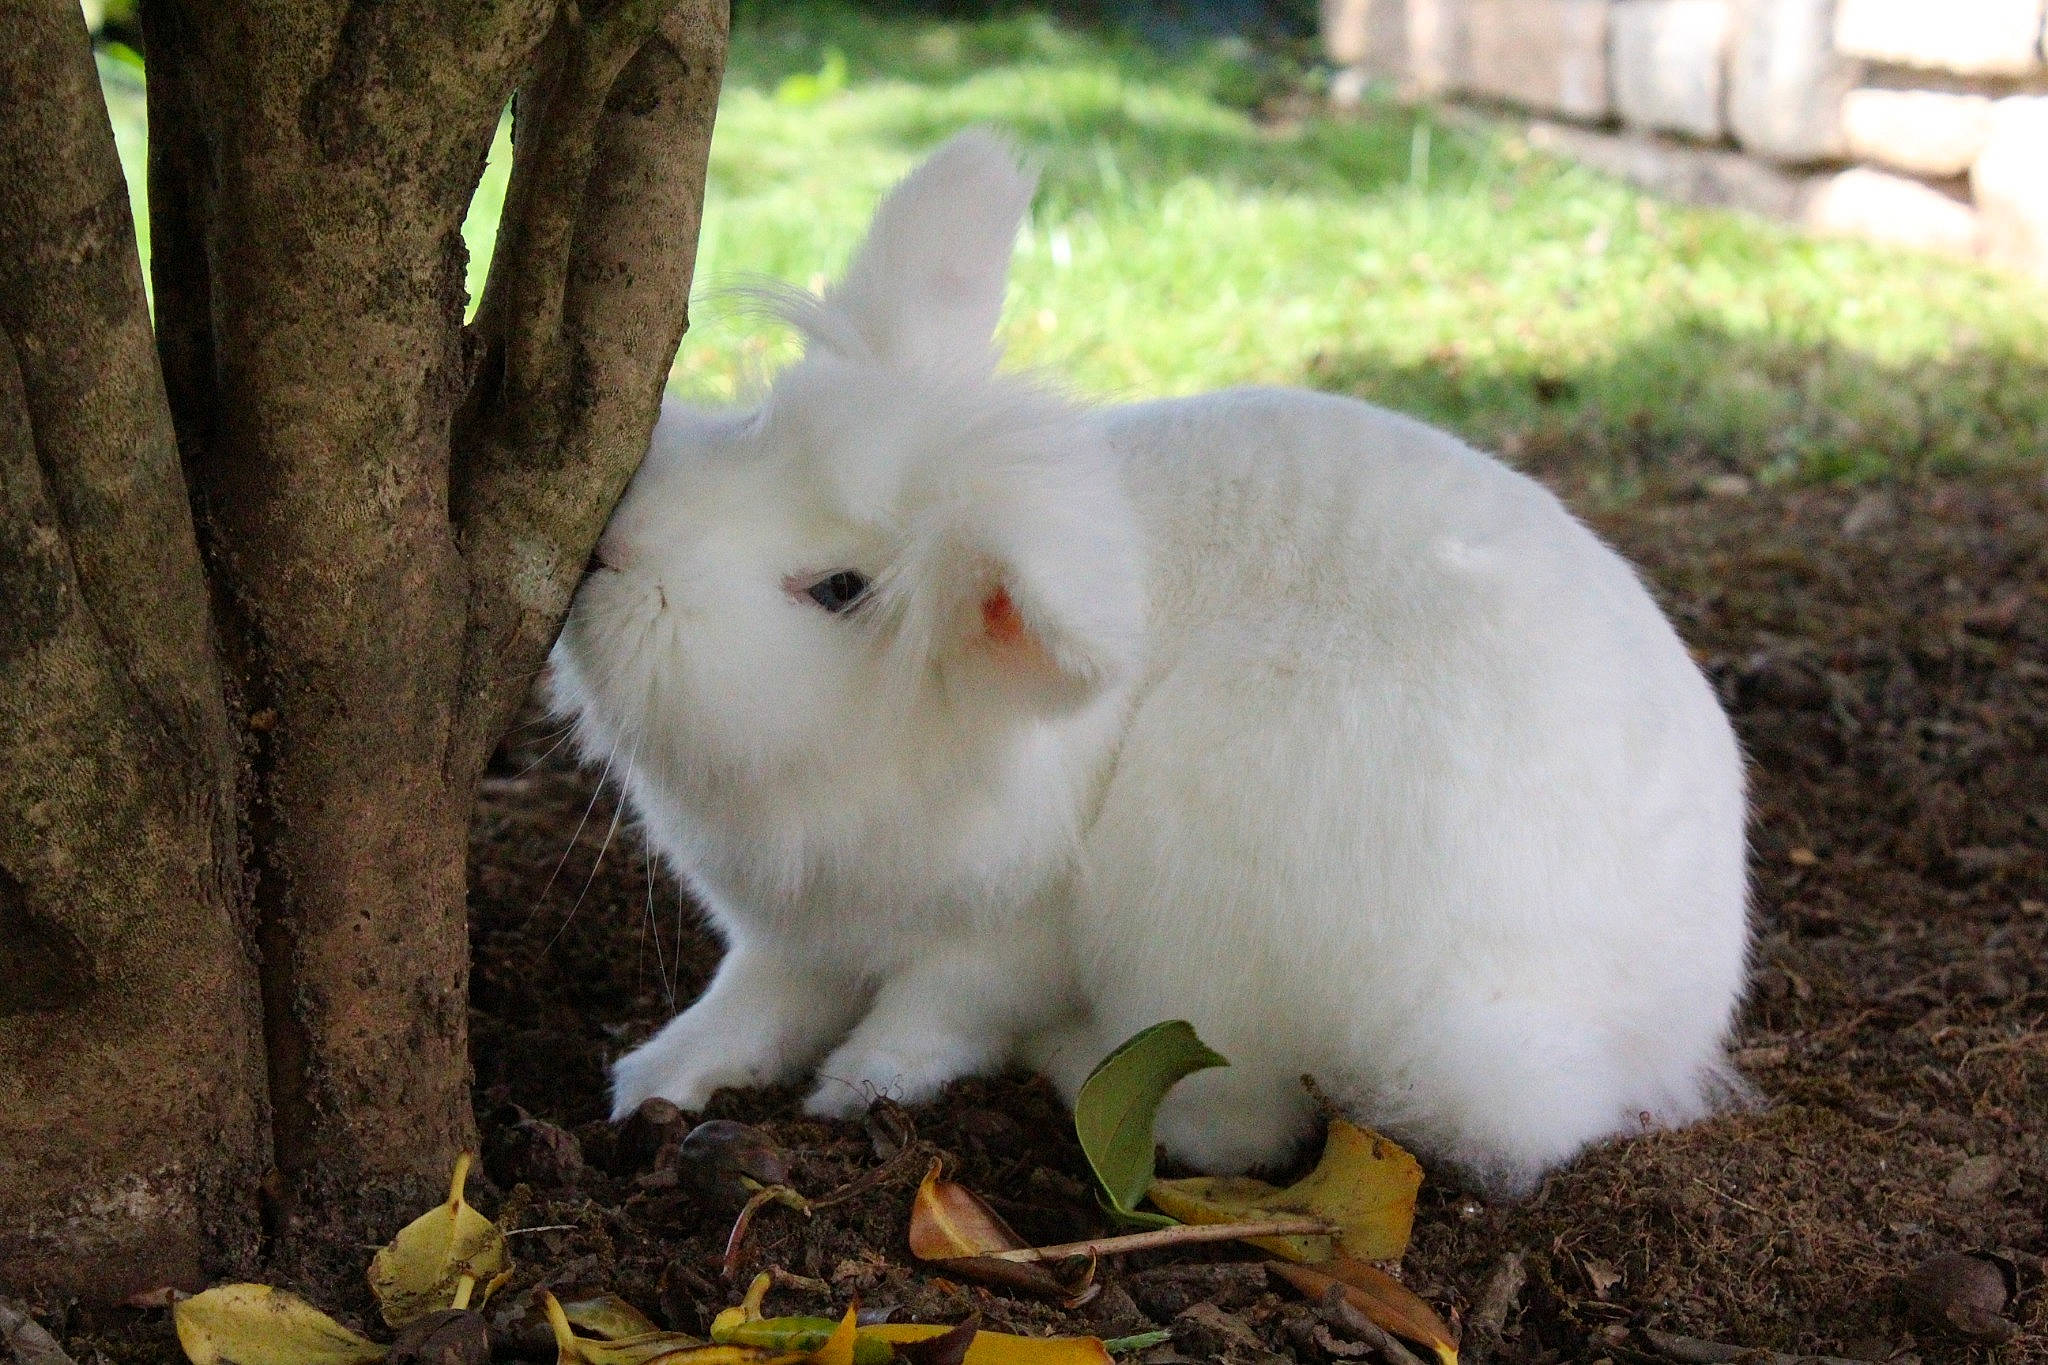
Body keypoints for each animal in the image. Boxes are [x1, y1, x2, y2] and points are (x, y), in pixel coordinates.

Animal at [551, 129, 1750, 1196]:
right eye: (757, 426)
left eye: (838, 590)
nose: (615, 548)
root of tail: (1637, 1037)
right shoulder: (794, 936)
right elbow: (747, 1005)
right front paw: (651, 1079)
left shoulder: (1003, 936)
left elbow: (935, 1015)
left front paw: (856, 1088)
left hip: (1212, 903)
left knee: (1239, 1121)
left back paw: (1077, 1065)